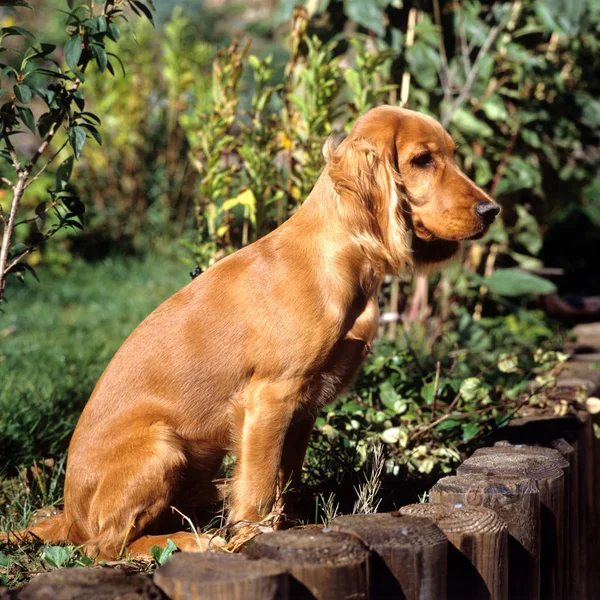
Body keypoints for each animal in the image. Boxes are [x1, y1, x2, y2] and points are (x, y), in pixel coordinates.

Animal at [3, 106, 496, 556]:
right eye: (421, 160)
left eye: (454, 155)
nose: (492, 210)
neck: (338, 258)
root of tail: (68, 514)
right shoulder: (270, 397)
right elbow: (260, 486)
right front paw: (253, 538)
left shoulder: (304, 405)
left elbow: (286, 476)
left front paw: (292, 525)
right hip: (162, 446)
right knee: (106, 546)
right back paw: (193, 540)